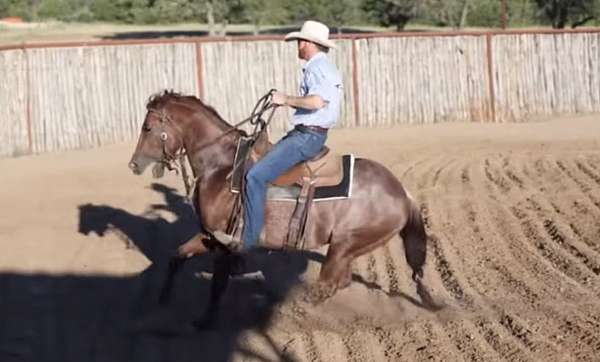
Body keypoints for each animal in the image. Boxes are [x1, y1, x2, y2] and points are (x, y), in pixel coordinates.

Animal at [129, 90, 434, 302]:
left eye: (147, 128)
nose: (134, 164)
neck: (222, 166)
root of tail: (402, 193)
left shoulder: (223, 243)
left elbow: (217, 284)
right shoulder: (208, 235)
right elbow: (176, 257)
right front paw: (163, 299)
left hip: (345, 245)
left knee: (327, 285)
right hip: (347, 249)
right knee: (339, 282)